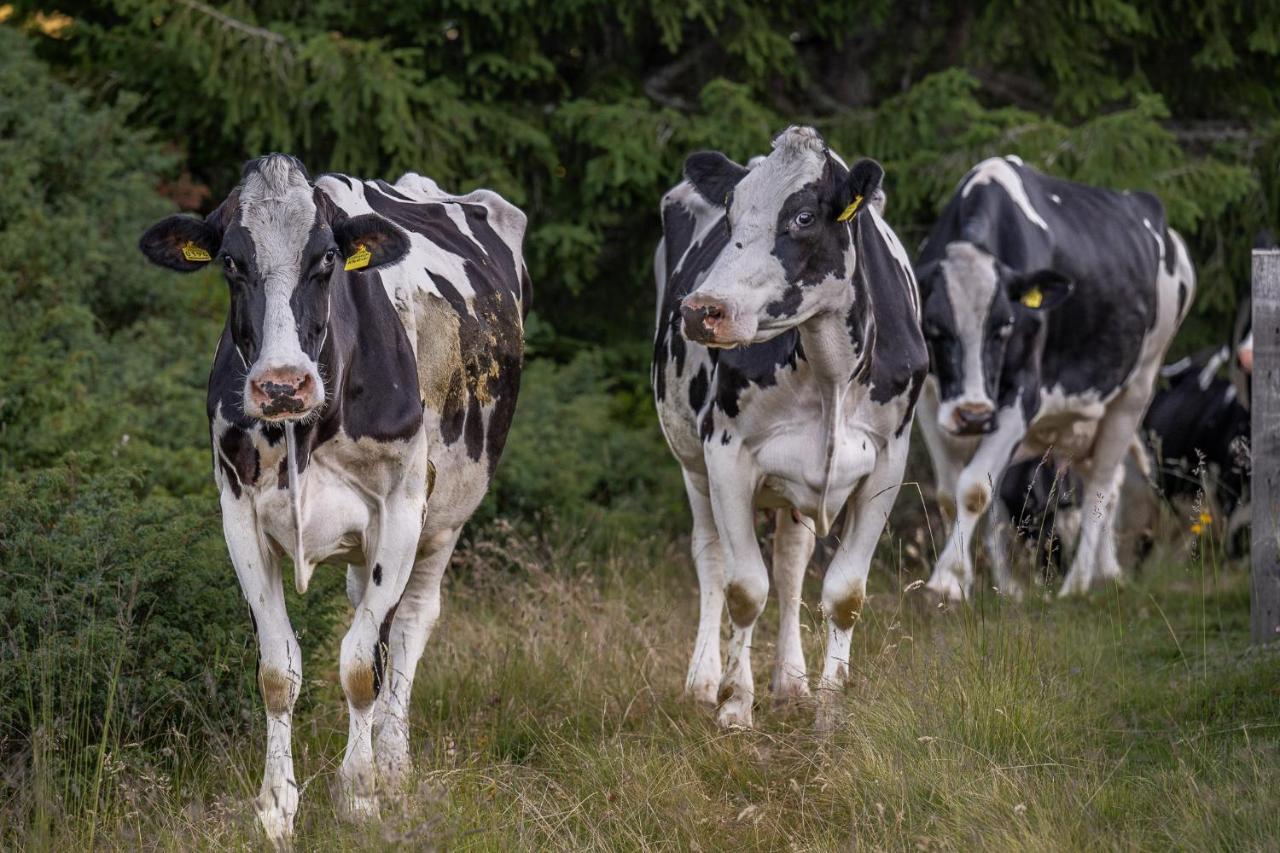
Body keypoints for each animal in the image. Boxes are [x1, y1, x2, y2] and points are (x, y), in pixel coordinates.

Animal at [137, 154, 522, 845]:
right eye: (231, 261)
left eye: (325, 260)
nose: (281, 385)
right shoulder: (238, 515)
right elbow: (278, 671)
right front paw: (276, 808)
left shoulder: (401, 513)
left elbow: (361, 667)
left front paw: (362, 796)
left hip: (445, 519)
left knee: (409, 627)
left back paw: (394, 769)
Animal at [655, 126, 926, 722]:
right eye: (729, 216)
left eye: (803, 217)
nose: (701, 309)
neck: (830, 372)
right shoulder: (725, 452)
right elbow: (744, 588)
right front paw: (735, 705)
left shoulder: (888, 461)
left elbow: (844, 593)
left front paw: (829, 707)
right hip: (690, 462)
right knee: (711, 559)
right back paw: (703, 680)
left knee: (790, 564)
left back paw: (791, 682)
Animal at [916, 157, 1192, 596]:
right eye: (934, 328)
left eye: (1004, 326)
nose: (973, 415)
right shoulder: (929, 397)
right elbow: (951, 493)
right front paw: (984, 587)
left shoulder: (1023, 395)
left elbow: (974, 488)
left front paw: (946, 580)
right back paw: (1103, 573)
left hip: (1137, 386)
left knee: (1101, 485)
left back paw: (1077, 585)